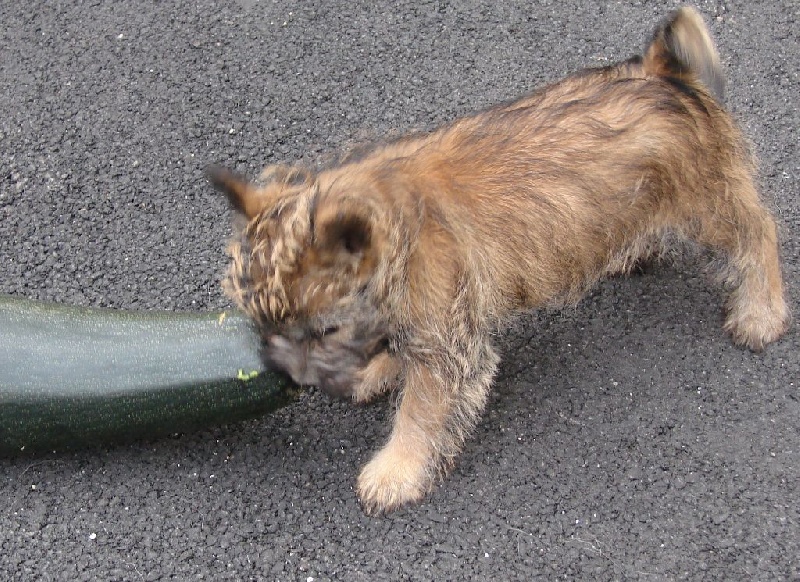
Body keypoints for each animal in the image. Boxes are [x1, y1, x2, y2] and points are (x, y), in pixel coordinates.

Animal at [206, 5, 788, 516]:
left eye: (324, 332)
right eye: (262, 324)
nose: (285, 373)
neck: (400, 228)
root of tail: (662, 70)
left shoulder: (448, 347)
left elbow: (420, 414)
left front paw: (396, 470)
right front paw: (380, 368)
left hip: (708, 202)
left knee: (759, 232)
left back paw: (762, 311)